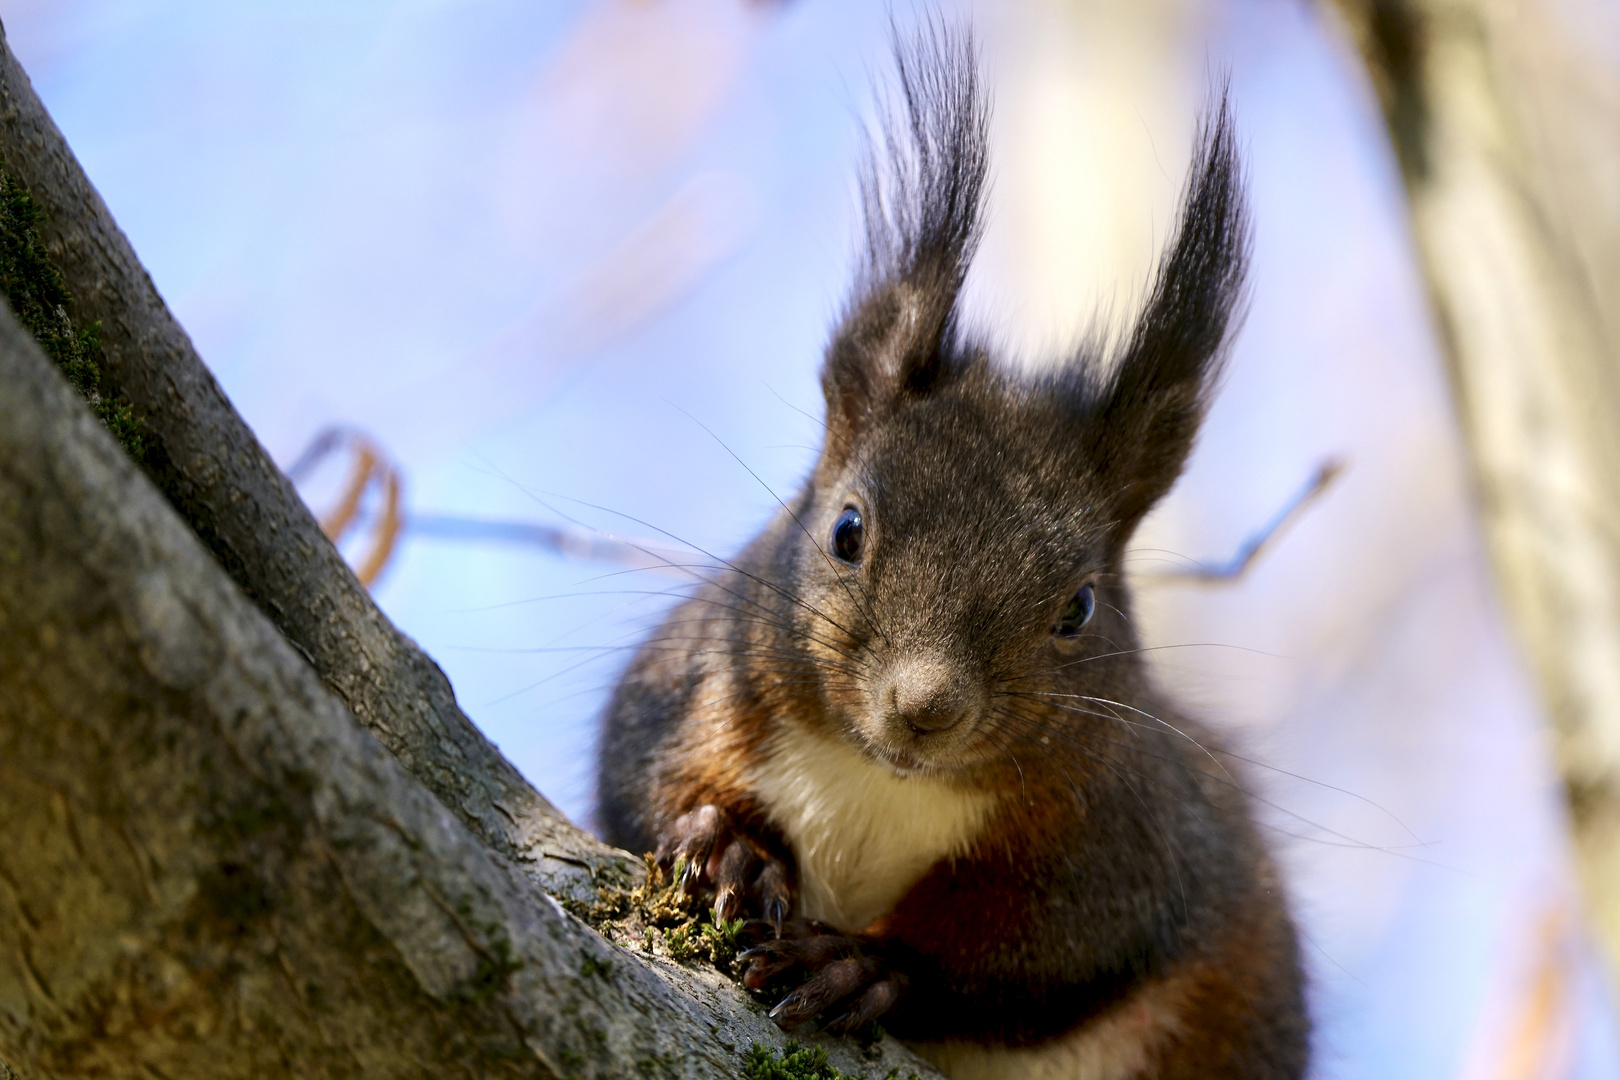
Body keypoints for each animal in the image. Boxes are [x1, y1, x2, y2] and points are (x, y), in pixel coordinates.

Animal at [596, 25, 1302, 1080]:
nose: (925, 707)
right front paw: (722, 842)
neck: (883, 781)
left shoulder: (1134, 829)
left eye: (1078, 607)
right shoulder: (700, 673)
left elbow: (1054, 944)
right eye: (845, 531)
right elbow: (638, 771)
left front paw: (868, 967)